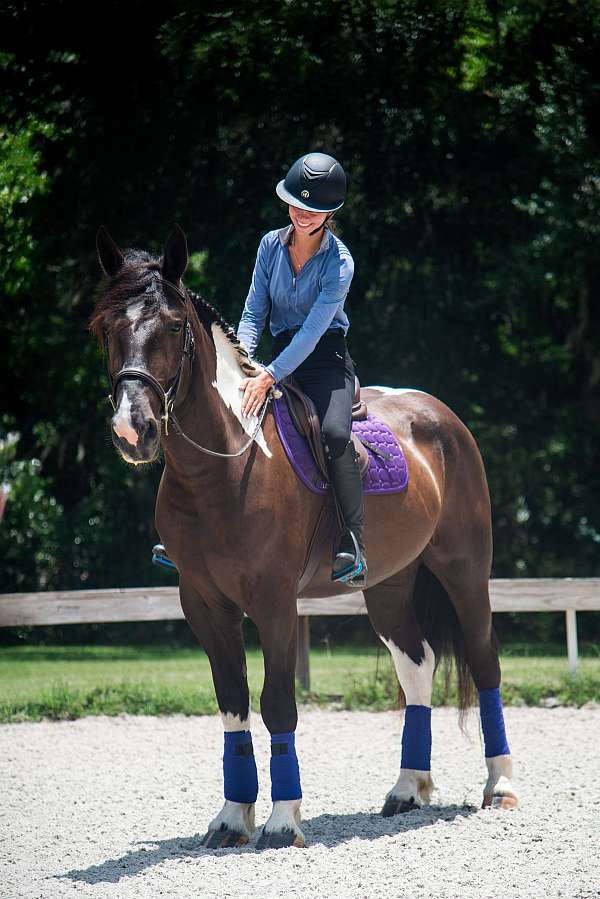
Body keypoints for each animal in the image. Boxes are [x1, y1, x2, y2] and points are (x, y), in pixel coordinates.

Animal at [91, 223, 518, 850]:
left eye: (171, 326)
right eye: (105, 329)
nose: (131, 429)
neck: (224, 469)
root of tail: (439, 414)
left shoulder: (274, 603)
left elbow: (277, 703)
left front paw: (281, 821)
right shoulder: (203, 604)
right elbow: (233, 705)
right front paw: (231, 818)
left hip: (465, 570)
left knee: (484, 661)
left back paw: (501, 786)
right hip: (388, 585)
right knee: (417, 665)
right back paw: (407, 789)